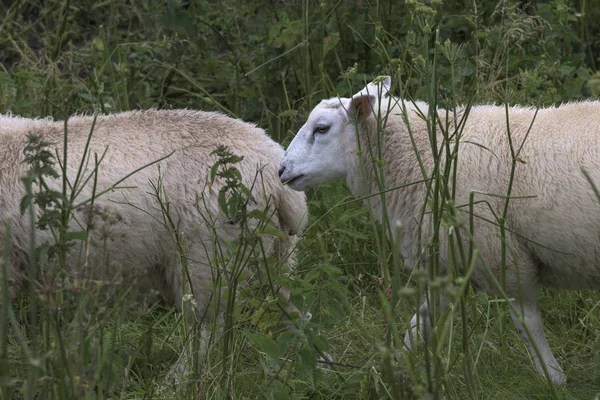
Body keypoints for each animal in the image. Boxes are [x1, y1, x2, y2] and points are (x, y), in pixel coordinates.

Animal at [278, 76, 600, 386]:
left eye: (321, 129)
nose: (281, 170)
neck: (425, 153)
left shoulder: (501, 255)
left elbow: (526, 321)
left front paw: (552, 376)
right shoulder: (449, 260)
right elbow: (419, 324)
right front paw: (393, 370)